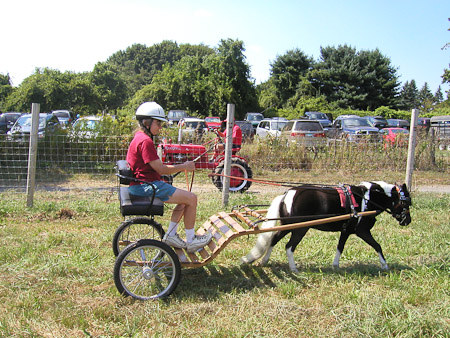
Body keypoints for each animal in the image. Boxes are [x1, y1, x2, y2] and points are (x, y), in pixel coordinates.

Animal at [243, 181, 412, 270]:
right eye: (406, 202)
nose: (408, 221)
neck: (368, 198)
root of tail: (287, 194)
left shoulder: (346, 231)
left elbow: (340, 247)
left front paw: (335, 265)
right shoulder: (361, 231)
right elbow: (377, 245)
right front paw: (385, 265)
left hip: (287, 226)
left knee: (273, 240)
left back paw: (264, 261)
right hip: (300, 229)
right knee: (289, 247)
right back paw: (294, 269)